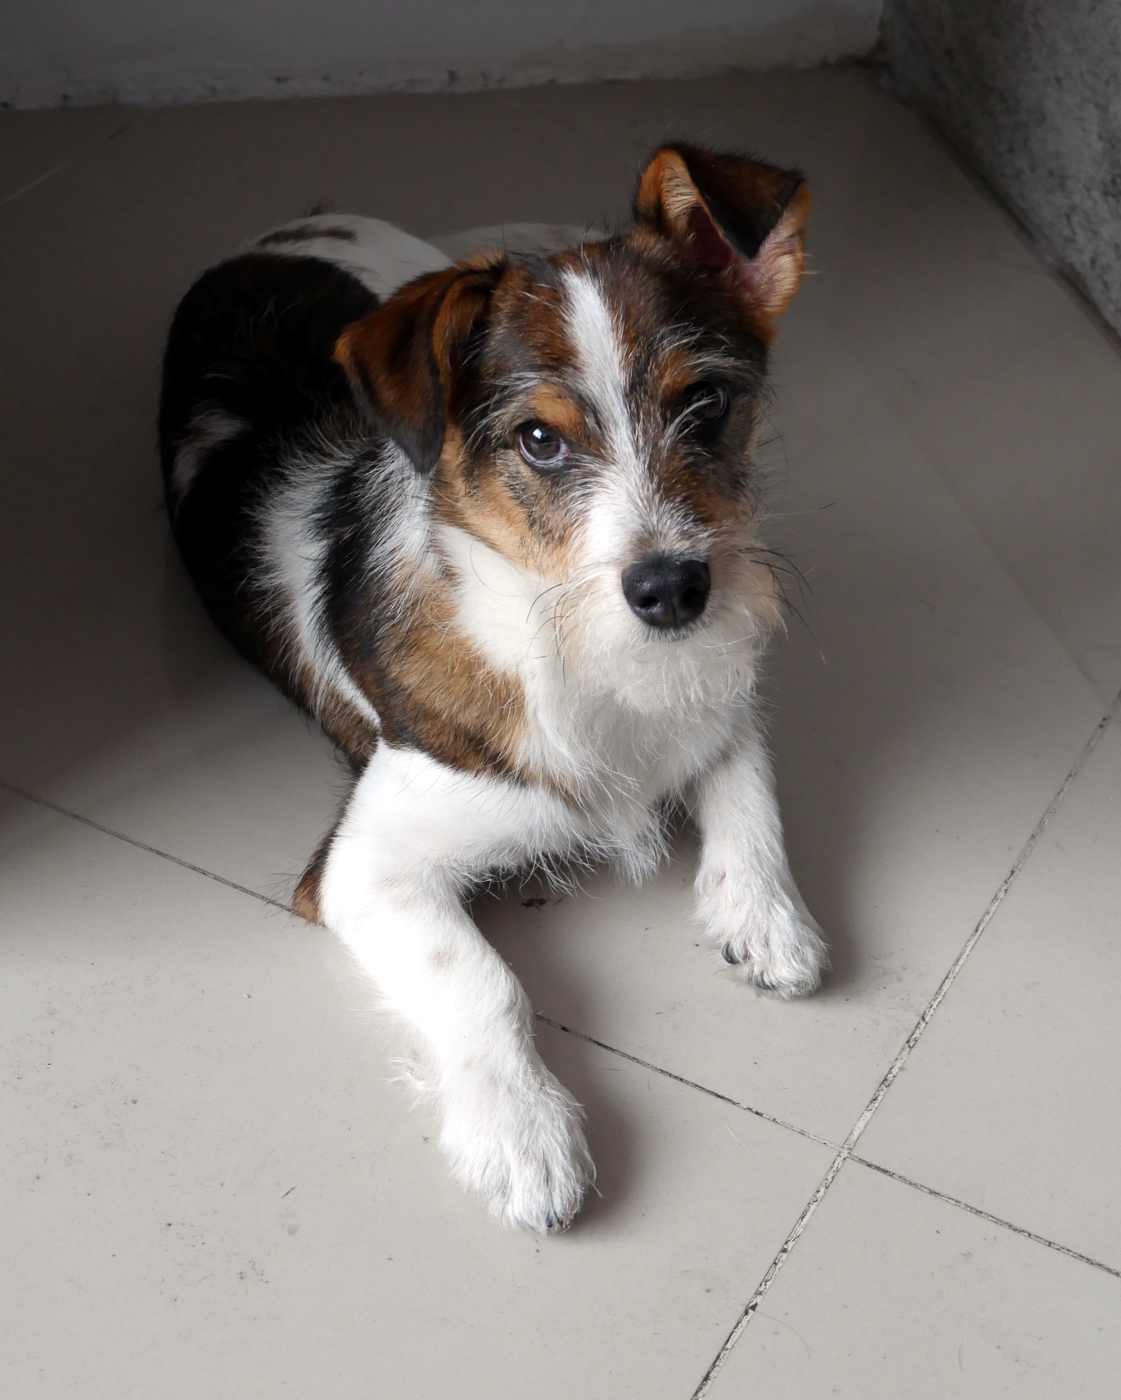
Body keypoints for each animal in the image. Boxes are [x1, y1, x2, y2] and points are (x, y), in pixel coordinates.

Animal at [159, 144, 826, 1232]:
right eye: (539, 442)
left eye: (705, 405)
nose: (674, 589)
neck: (569, 653)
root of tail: (280, 232)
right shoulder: (364, 866)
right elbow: (480, 978)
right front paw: (520, 1131)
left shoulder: (718, 683)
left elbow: (747, 781)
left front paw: (765, 916)